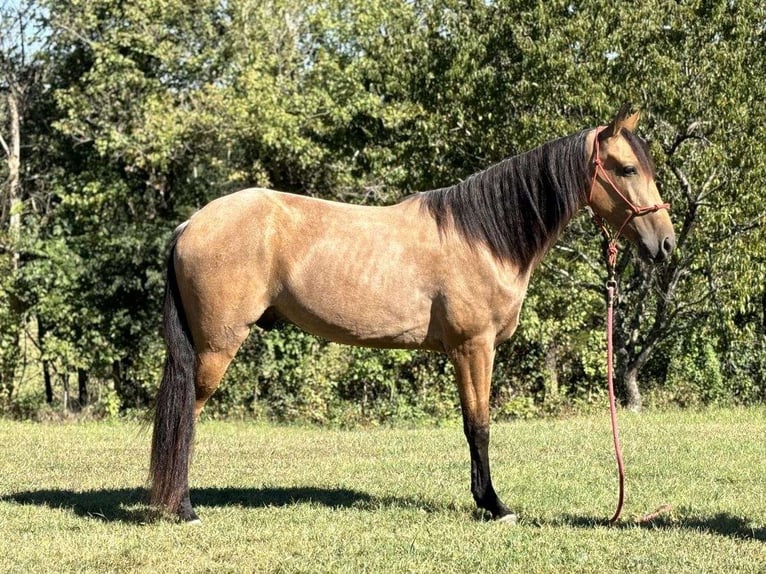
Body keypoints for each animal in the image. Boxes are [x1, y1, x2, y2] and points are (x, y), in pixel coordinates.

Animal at [147, 102, 676, 520]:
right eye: (627, 169)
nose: (665, 244)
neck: (483, 237)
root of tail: (192, 224)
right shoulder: (472, 348)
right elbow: (478, 426)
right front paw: (494, 505)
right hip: (215, 347)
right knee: (186, 417)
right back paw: (183, 508)